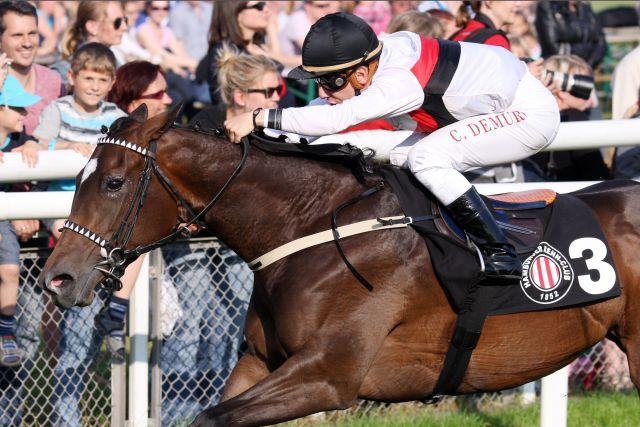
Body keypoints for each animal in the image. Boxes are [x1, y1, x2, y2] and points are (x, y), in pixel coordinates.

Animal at [37, 104, 636, 427]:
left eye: (114, 183)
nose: (56, 278)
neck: (309, 227)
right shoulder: (262, 361)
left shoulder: (329, 374)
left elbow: (212, 414)